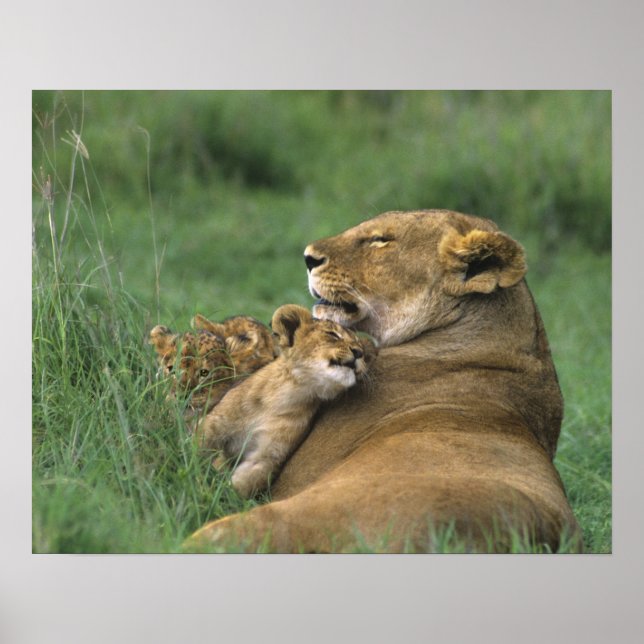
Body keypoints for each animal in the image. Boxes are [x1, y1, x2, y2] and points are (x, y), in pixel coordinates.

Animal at [193, 304, 376, 499]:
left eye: (362, 349)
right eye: (333, 335)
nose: (359, 352)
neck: (286, 394)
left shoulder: (267, 457)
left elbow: (240, 485)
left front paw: (217, 497)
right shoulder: (212, 425)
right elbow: (193, 451)